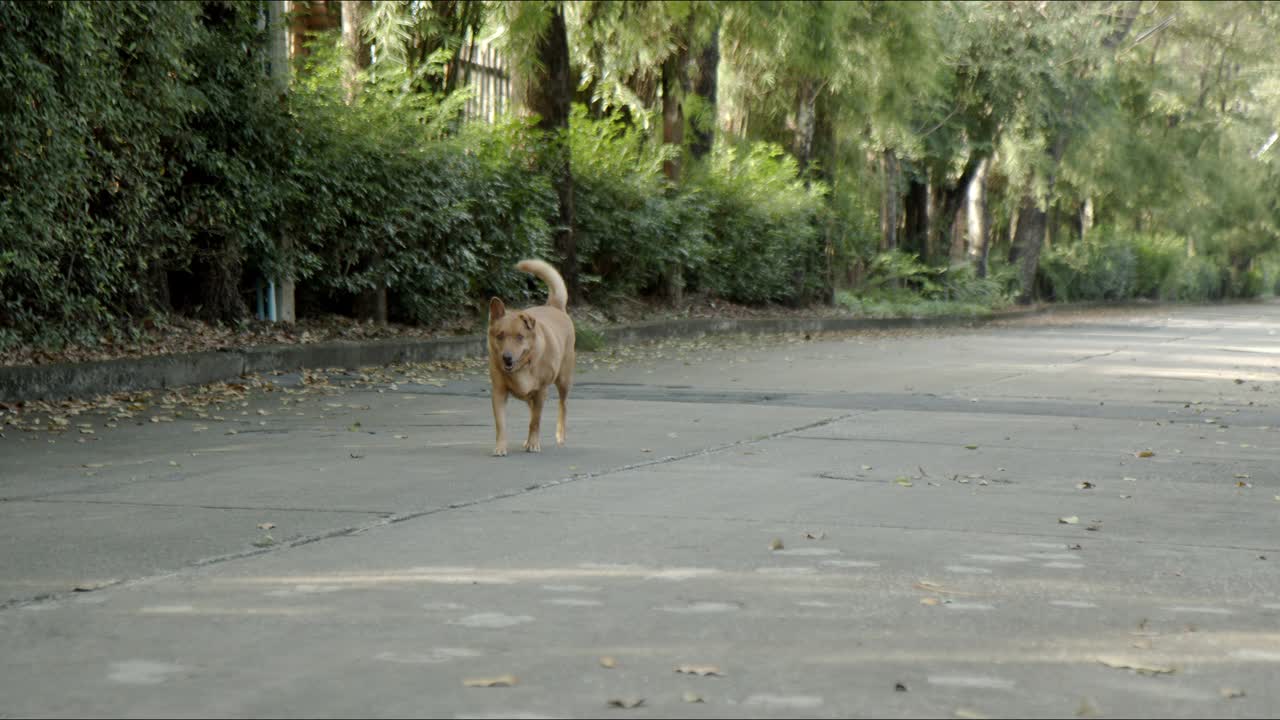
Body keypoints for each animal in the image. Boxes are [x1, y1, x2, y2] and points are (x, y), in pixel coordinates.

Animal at [483, 258, 576, 453]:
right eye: (500, 336)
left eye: (520, 337)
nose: (507, 358)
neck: (523, 365)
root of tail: (553, 306)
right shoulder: (498, 392)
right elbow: (501, 424)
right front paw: (501, 447)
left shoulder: (541, 392)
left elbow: (535, 421)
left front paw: (533, 443)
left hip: (564, 380)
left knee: (562, 405)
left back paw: (560, 435)